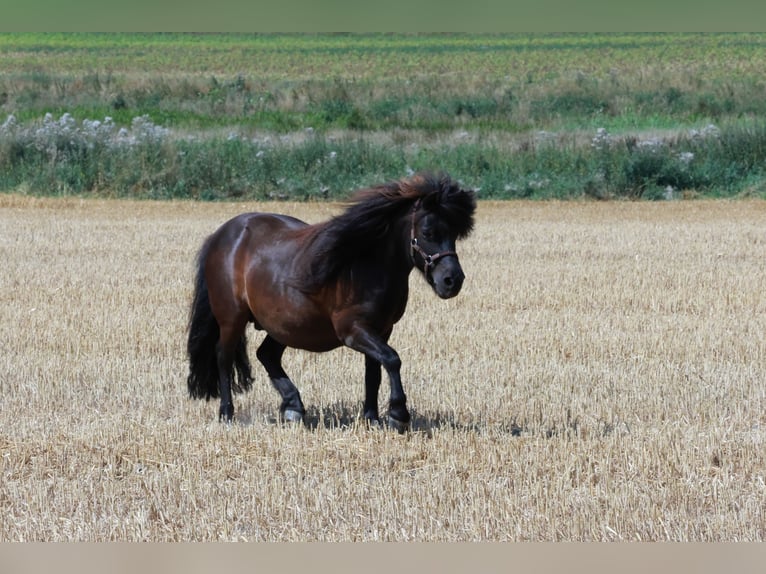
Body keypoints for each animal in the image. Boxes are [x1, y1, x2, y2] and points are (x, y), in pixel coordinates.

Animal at [186, 172, 476, 431]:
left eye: (455, 233)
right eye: (428, 232)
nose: (452, 280)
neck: (368, 263)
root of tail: (221, 235)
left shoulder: (382, 330)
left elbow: (374, 371)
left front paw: (372, 419)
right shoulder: (353, 330)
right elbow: (392, 360)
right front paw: (398, 414)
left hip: (284, 324)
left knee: (266, 355)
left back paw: (293, 407)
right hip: (232, 319)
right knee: (223, 357)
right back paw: (227, 413)